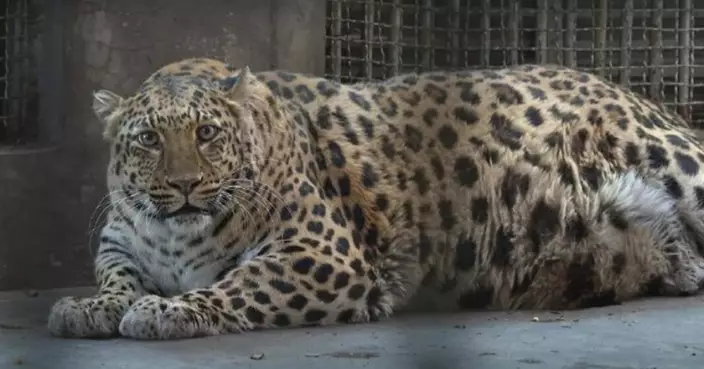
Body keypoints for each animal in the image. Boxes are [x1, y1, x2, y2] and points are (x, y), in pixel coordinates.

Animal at [48, 56, 704, 340]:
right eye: (148, 139)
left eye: (207, 133)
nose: (185, 185)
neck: (175, 236)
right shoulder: (120, 243)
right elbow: (116, 275)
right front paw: (91, 306)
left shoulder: (322, 254)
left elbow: (239, 283)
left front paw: (167, 311)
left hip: (675, 160)